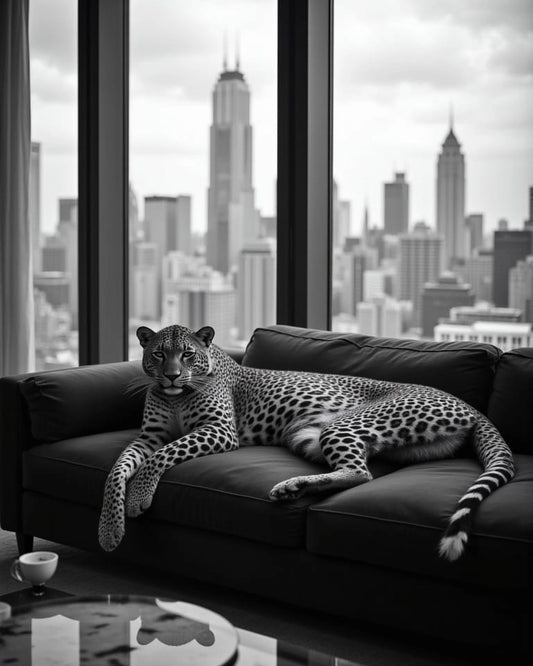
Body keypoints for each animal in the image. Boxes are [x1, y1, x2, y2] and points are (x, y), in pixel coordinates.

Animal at [98, 324, 515, 561]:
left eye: (187, 354)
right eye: (157, 354)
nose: (170, 376)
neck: (176, 397)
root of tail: (471, 407)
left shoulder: (218, 430)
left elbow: (161, 456)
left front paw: (137, 499)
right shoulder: (148, 436)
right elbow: (116, 470)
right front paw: (110, 530)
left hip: (344, 424)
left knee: (361, 472)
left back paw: (289, 487)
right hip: (307, 436)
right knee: (354, 468)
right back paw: (292, 488)